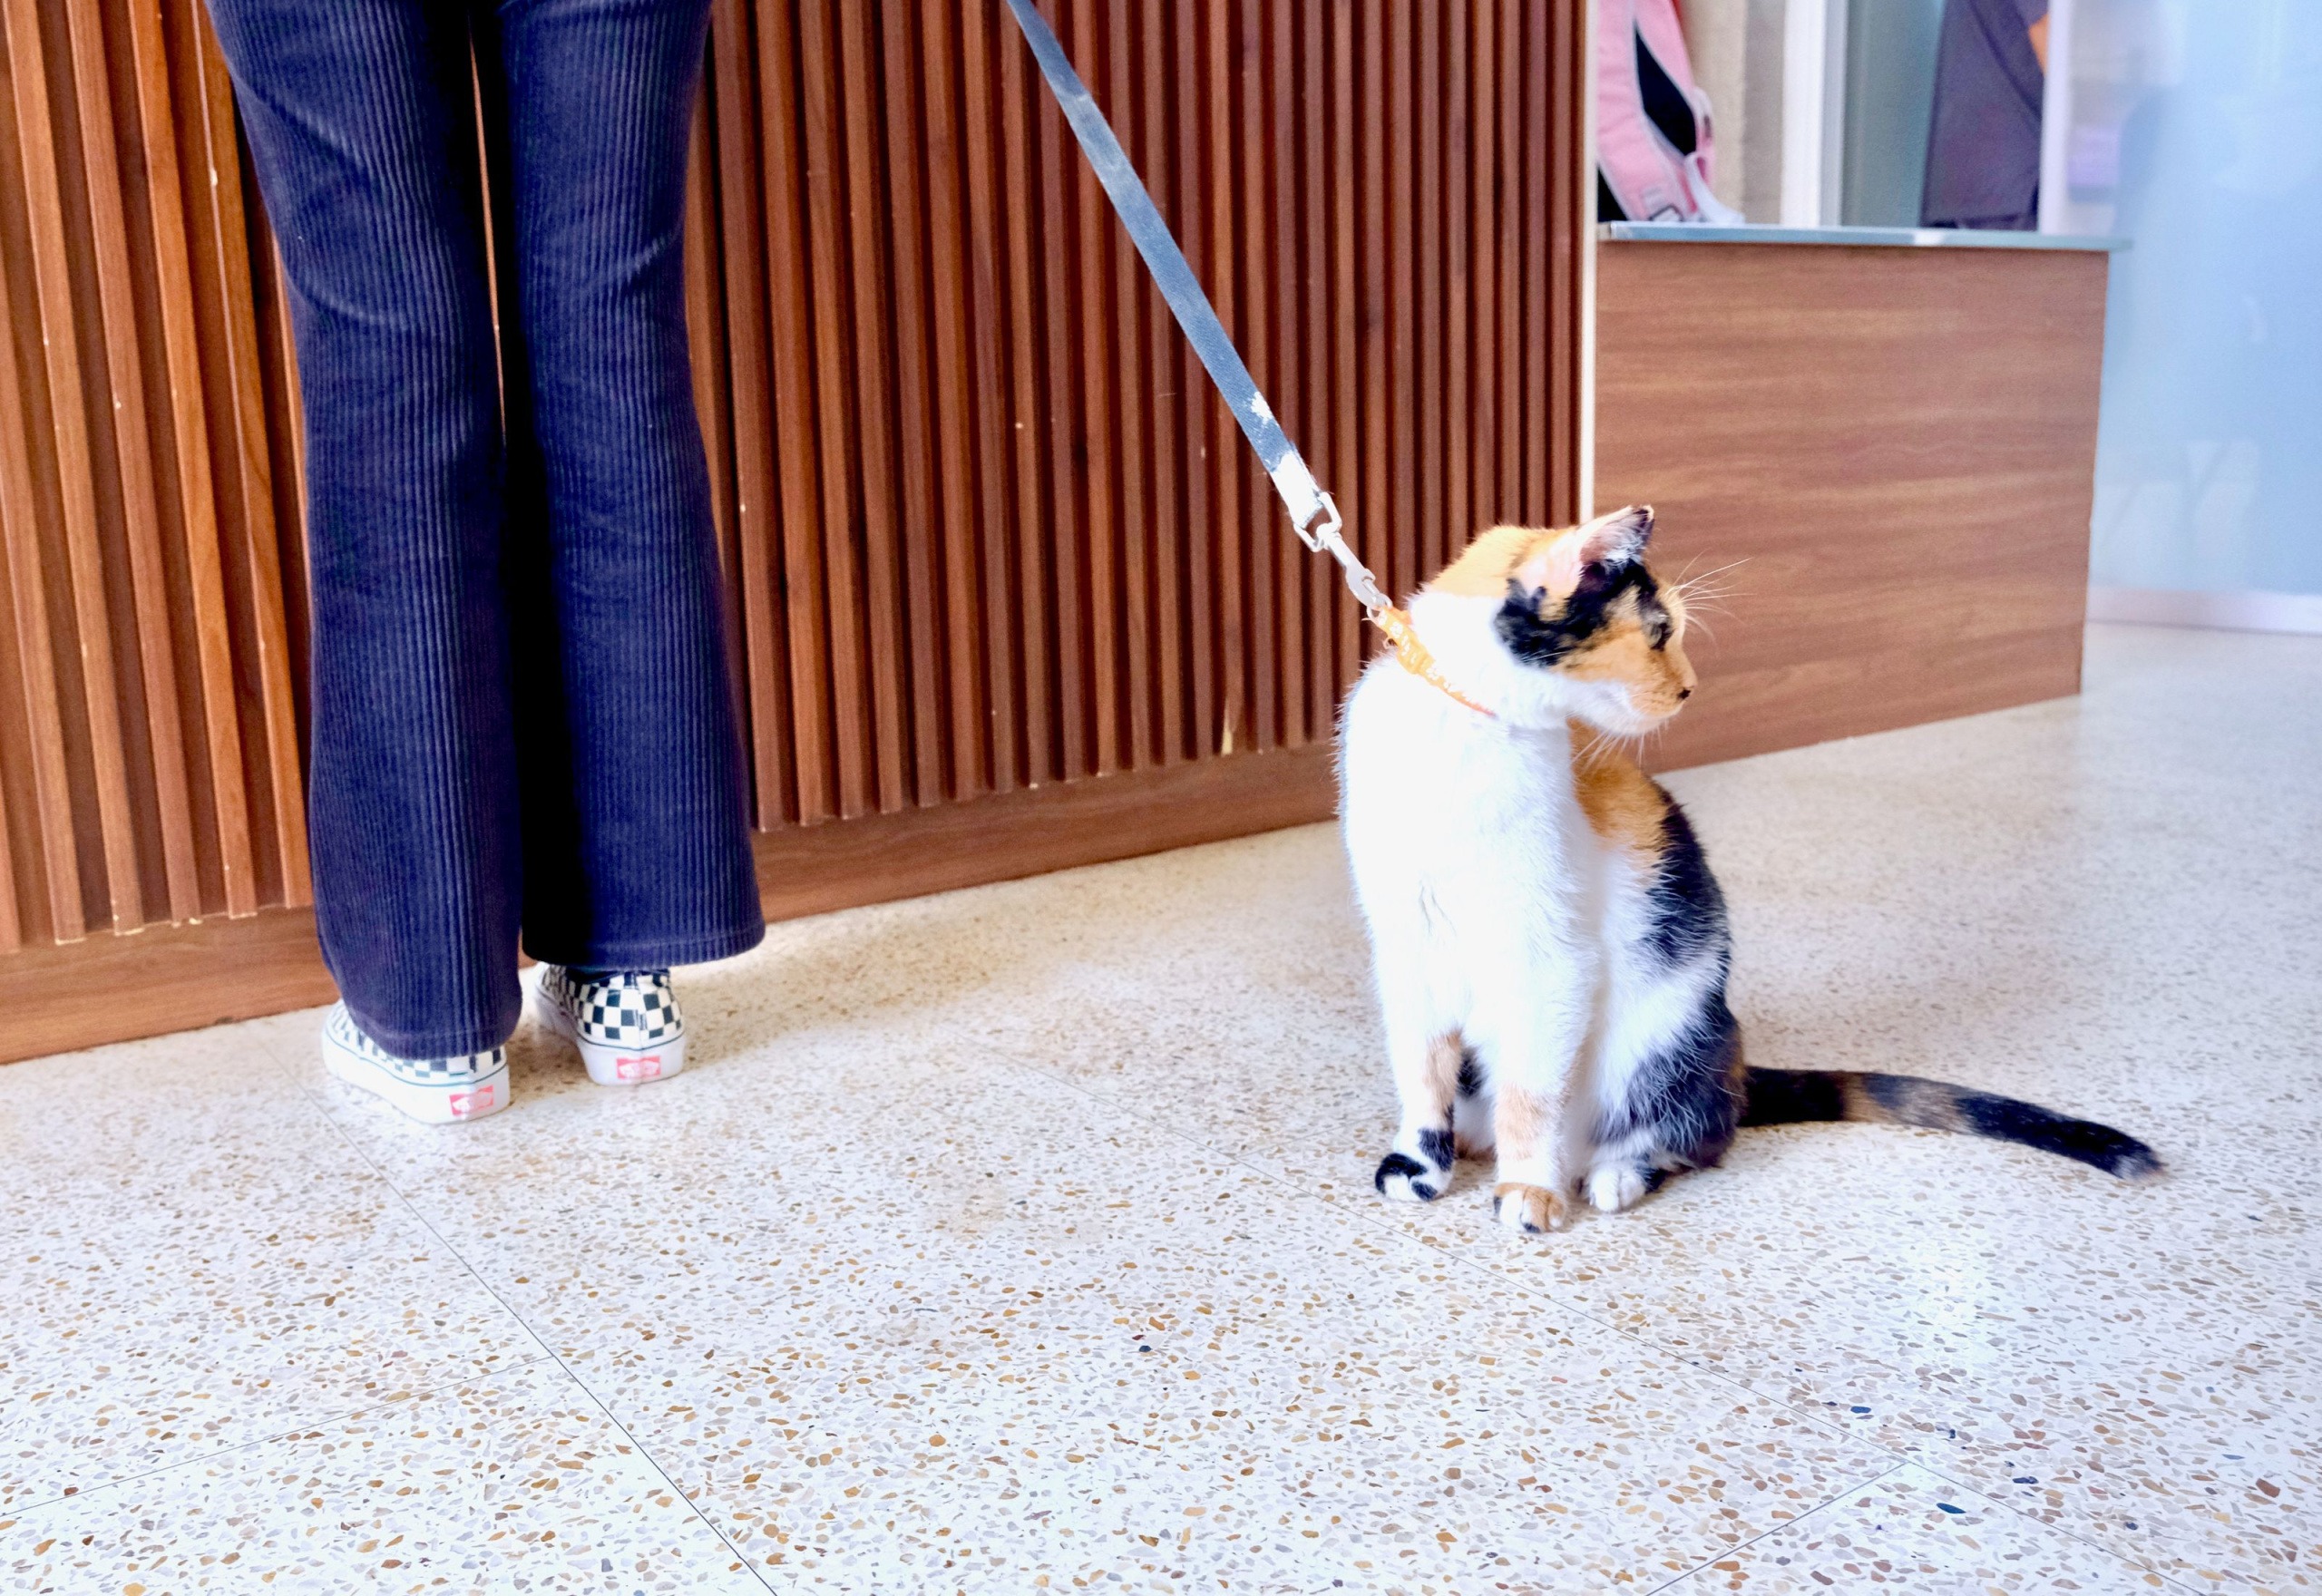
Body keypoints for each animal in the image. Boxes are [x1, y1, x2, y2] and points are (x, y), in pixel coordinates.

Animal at [1337, 505, 2160, 1234]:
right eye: (1660, 632)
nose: (1691, 687)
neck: (1459, 732)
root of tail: (1736, 1066)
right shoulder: (1403, 937)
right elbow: (1420, 1065)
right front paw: (1421, 1164)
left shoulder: (1549, 955)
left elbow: (1532, 1092)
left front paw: (1529, 1191)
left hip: (1664, 1038)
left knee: (1692, 1135)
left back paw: (1611, 1173)